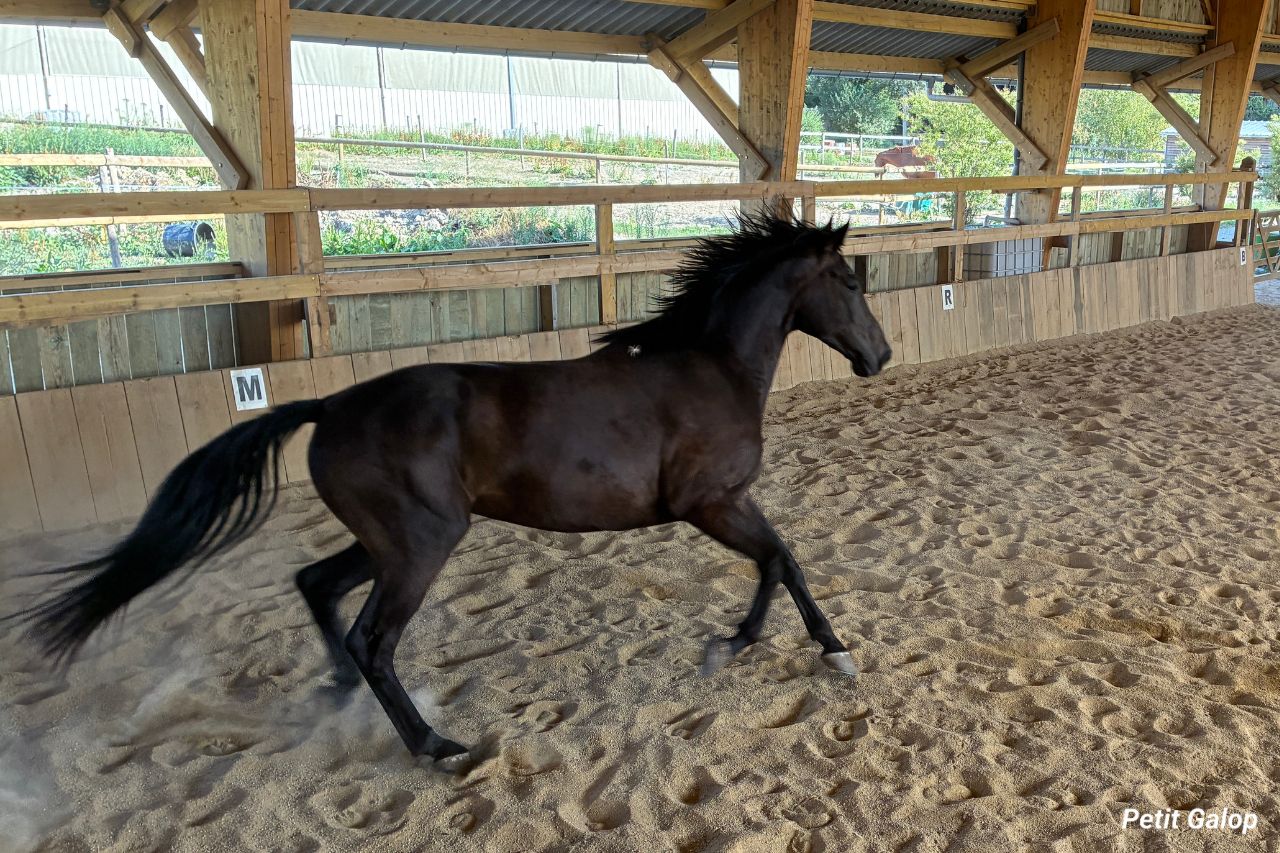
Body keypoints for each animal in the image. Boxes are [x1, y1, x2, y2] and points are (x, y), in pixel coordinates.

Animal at [14, 212, 891, 772]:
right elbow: (781, 558)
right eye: (849, 282)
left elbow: (783, 560)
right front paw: (794, 645)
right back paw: (436, 746)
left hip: (390, 540)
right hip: (420, 546)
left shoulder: (725, 504)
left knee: (317, 586)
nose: (879, 357)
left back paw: (339, 694)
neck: (712, 368)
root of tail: (329, 406)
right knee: (373, 639)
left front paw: (774, 642)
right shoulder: (711, 502)